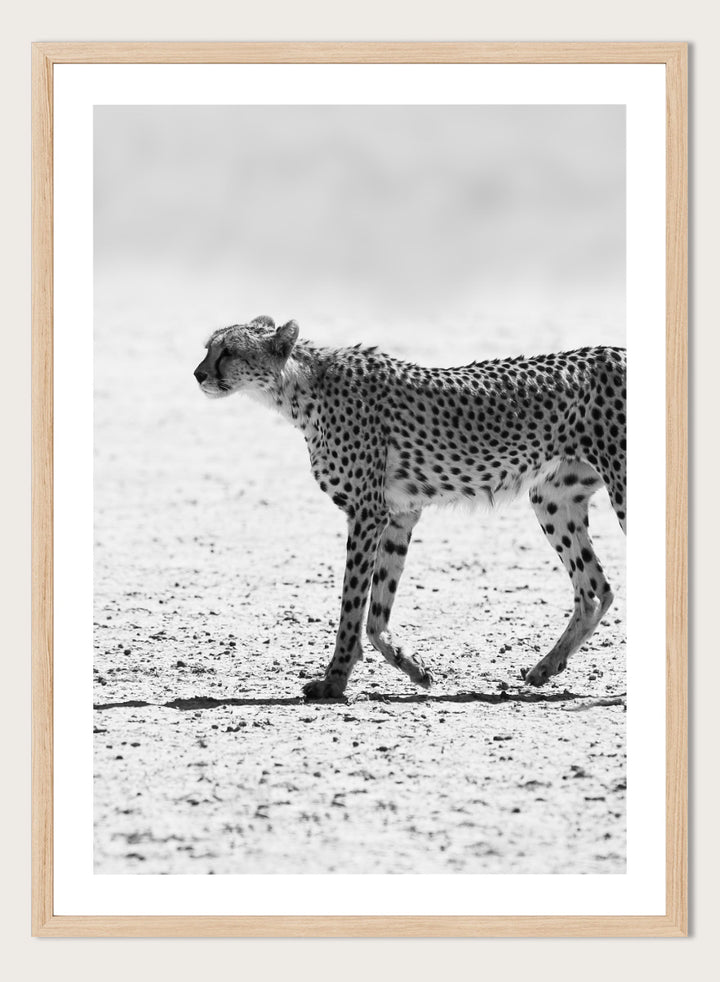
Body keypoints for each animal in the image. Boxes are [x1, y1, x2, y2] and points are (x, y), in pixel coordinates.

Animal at [194, 315, 626, 700]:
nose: (198, 374)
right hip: (552, 498)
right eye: (208, 348)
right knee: (595, 589)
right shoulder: (399, 514)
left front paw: (334, 681)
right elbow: (377, 610)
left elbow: (352, 605)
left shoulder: (367, 512)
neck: (301, 386)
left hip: (619, 489)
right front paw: (412, 666)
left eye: (228, 351)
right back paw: (546, 667)